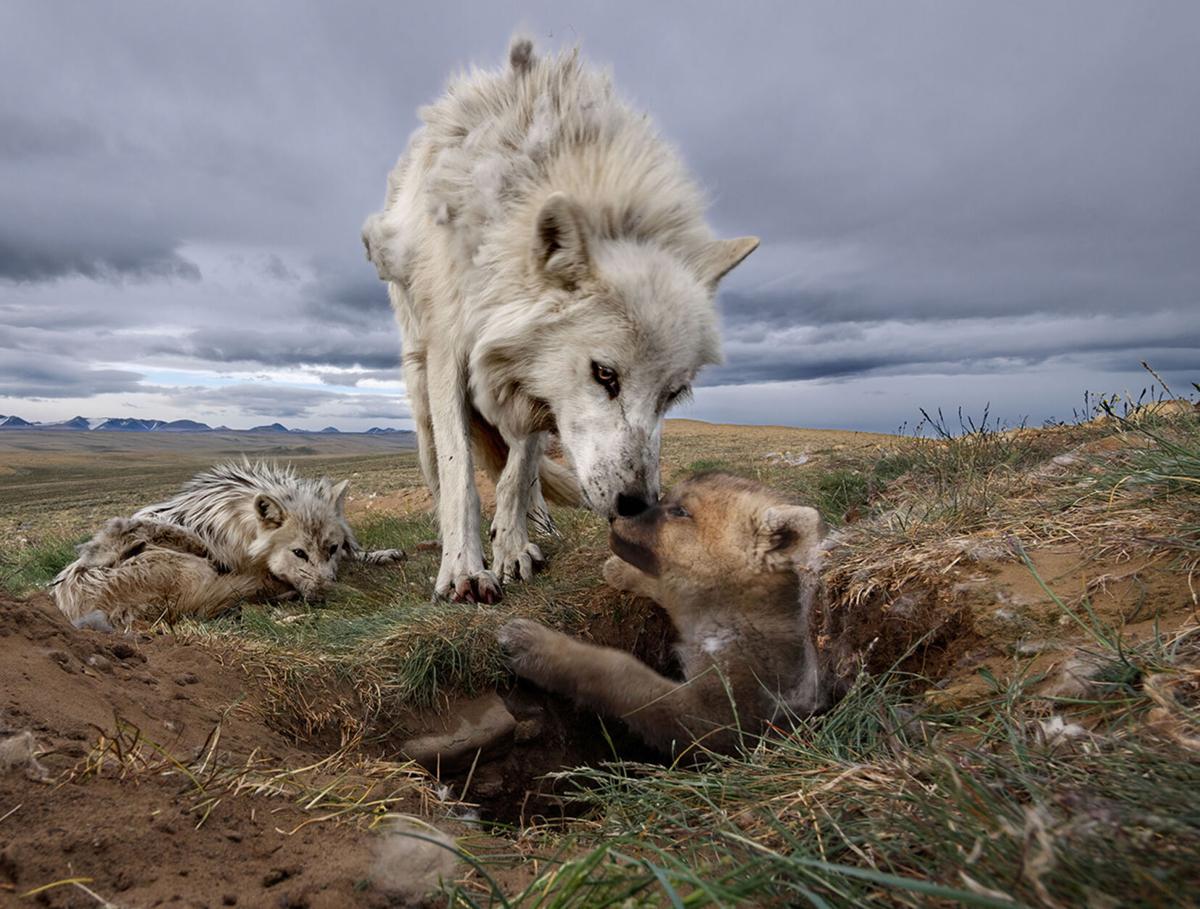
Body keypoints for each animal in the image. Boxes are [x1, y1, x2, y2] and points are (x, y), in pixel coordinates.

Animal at [51, 461, 405, 629]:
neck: (240, 527)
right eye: (299, 553)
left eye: (330, 549)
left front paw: (381, 554)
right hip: (187, 568)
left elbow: (357, 553)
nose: (327, 595)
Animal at [362, 37, 758, 603]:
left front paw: (511, 549)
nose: (638, 505)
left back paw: (533, 529)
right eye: (605, 374)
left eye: (673, 394)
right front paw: (463, 570)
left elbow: (517, 471)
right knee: (439, 467)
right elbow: (461, 477)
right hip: (417, 383)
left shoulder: (534, 383)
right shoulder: (454, 351)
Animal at [498, 473, 829, 757]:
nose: (614, 512)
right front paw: (620, 570)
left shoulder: (714, 718)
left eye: (680, 511)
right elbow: (662, 585)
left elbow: (620, 671)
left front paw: (538, 646)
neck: (737, 608)